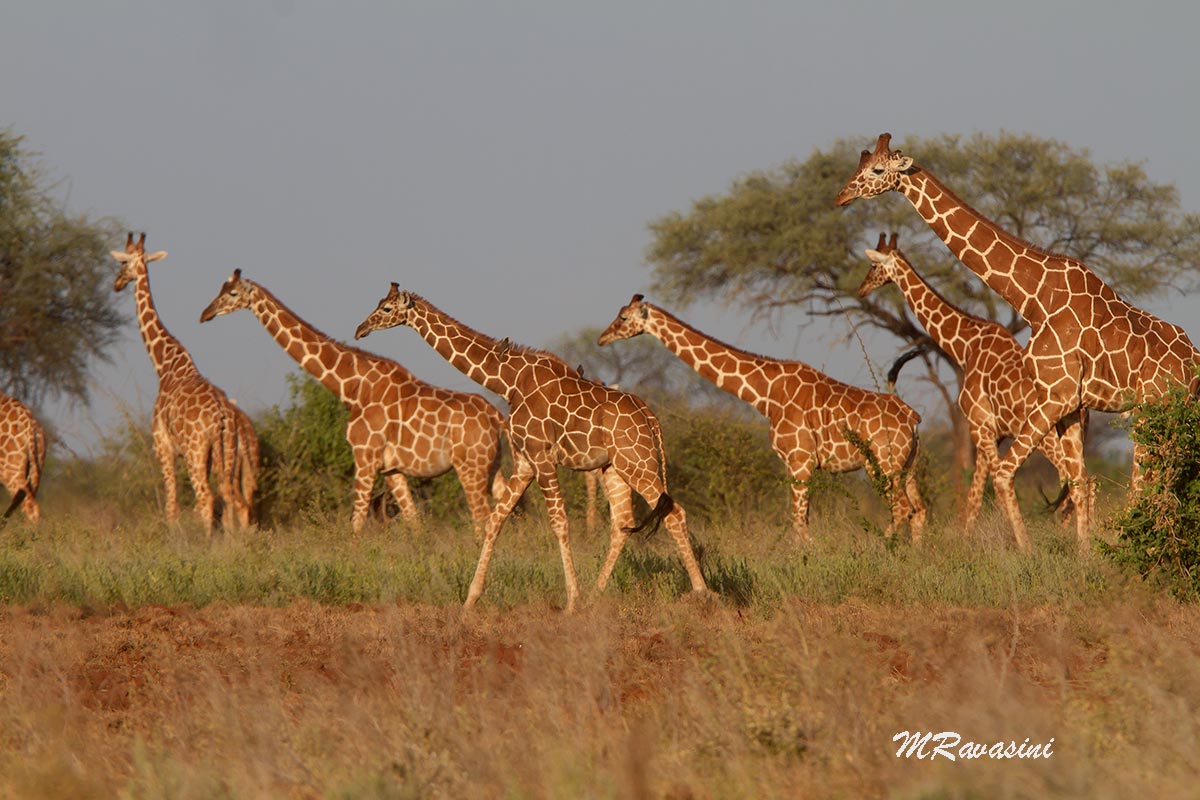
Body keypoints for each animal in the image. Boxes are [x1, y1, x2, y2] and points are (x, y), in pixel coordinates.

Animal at [111, 233, 239, 533]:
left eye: (123, 262)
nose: (117, 283)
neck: (164, 364)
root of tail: (220, 416)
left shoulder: (163, 446)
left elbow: (172, 506)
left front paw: (173, 537)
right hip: (226, 449)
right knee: (227, 494)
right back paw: (233, 540)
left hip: (196, 451)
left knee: (206, 496)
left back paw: (206, 540)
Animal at [199, 269, 507, 535]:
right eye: (220, 288)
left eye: (233, 294)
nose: (205, 313)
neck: (352, 388)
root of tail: (496, 418)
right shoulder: (392, 469)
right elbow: (414, 521)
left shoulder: (364, 457)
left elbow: (357, 523)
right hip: (491, 466)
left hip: (470, 467)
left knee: (482, 517)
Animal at [354, 285, 708, 612]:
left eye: (386, 308)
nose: (360, 329)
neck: (507, 381)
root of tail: (651, 418)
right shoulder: (525, 461)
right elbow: (495, 521)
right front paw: (471, 599)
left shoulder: (541, 456)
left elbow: (559, 522)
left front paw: (571, 600)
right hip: (615, 467)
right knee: (622, 522)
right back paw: (597, 594)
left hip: (638, 462)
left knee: (674, 512)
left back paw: (701, 591)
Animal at [598, 295, 927, 541]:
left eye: (624, 318)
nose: (602, 337)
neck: (766, 395)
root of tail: (913, 418)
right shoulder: (798, 464)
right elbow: (801, 521)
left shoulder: (800, 460)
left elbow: (799, 524)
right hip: (908, 467)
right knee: (919, 511)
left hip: (883, 464)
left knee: (902, 509)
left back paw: (883, 548)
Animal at [858, 232, 1089, 532]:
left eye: (874, 265)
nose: (861, 289)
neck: (965, 346)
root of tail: (1084, 407)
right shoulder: (992, 433)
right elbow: (975, 497)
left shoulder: (979, 426)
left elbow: (983, 496)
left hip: (1048, 439)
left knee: (1077, 481)